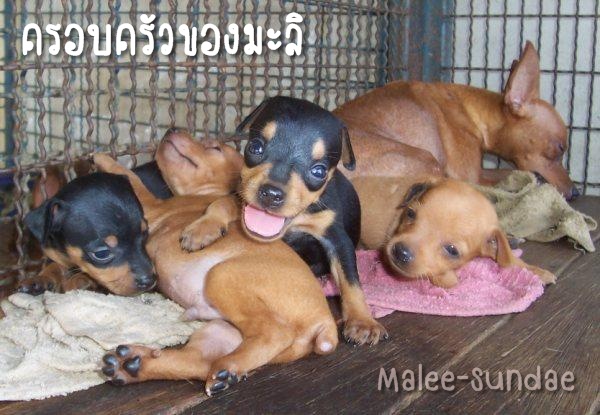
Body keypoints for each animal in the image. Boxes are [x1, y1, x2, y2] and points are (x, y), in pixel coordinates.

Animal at [92, 153, 338, 396]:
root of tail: (325, 321)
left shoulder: (152, 206)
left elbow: (132, 179)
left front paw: (101, 158)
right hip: (221, 331)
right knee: (196, 362)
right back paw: (132, 366)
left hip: (221, 276)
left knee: (275, 333)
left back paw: (227, 367)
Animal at [227, 96, 387, 345]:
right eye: (255, 147)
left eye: (318, 171)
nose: (271, 193)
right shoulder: (241, 198)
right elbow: (220, 204)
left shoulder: (336, 238)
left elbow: (350, 280)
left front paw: (363, 321)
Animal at [334, 41, 578, 200]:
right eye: (559, 149)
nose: (576, 192)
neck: (473, 112)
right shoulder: (472, 176)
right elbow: (506, 176)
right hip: (428, 161)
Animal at [352, 176, 556, 288]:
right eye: (410, 213)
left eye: (452, 250)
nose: (400, 252)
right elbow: (448, 279)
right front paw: (451, 277)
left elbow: (509, 259)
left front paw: (538, 272)